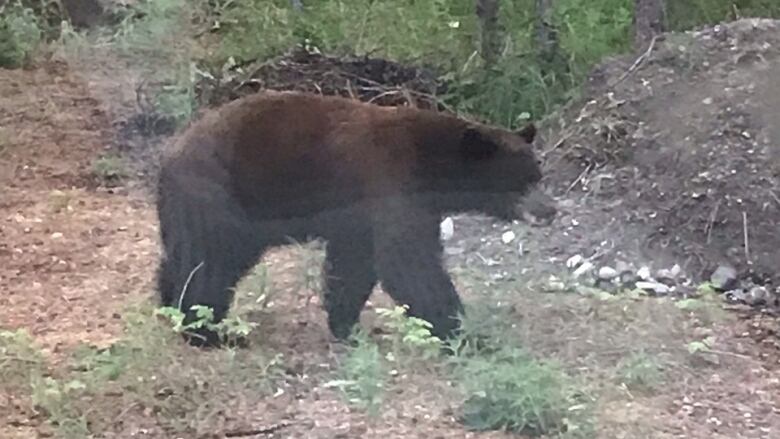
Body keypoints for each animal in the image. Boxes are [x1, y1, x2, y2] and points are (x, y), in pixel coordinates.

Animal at [155, 91, 552, 348]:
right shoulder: (391, 182)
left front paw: (347, 326)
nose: (550, 210)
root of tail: (171, 153)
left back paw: (169, 306)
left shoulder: (358, 216)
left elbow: (354, 264)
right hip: (218, 193)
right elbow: (409, 263)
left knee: (191, 257)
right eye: (523, 182)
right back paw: (207, 332)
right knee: (208, 263)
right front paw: (465, 334)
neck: (432, 163)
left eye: (538, 175)